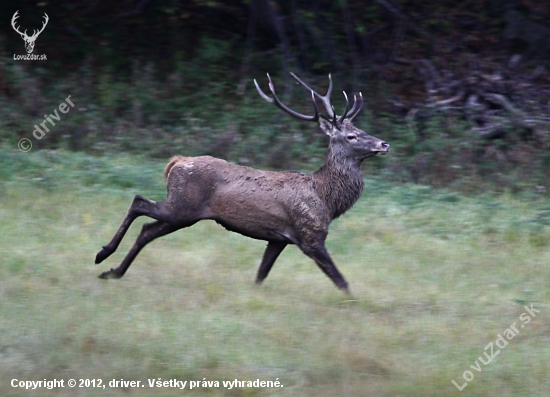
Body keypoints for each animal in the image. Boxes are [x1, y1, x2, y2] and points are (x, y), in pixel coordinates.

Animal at [95, 72, 390, 294]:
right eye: (351, 136)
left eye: (361, 130)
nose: (384, 143)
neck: (327, 200)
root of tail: (176, 162)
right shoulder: (310, 235)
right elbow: (341, 281)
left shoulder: (279, 239)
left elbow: (261, 274)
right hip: (180, 206)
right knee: (138, 202)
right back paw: (103, 254)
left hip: (184, 214)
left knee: (147, 230)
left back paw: (112, 272)